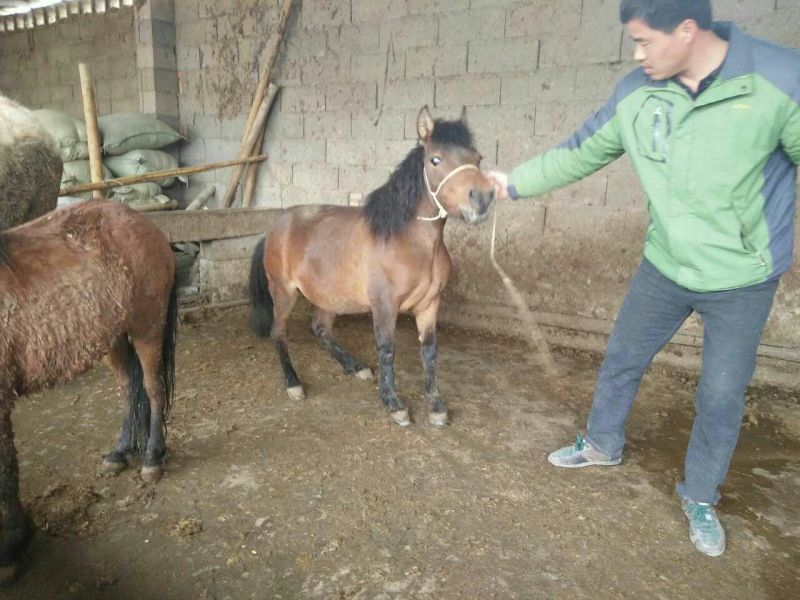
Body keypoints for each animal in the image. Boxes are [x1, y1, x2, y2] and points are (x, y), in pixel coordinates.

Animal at [0, 200, 177, 580]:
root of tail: (142, 220)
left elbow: (5, 470)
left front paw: (11, 547)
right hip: (112, 337)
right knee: (130, 390)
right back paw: (120, 452)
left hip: (147, 327)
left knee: (153, 388)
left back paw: (152, 457)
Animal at [249, 106, 495, 427]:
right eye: (435, 159)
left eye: (478, 158)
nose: (482, 199)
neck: (409, 241)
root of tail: (273, 228)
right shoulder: (385, 305)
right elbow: (387, 350)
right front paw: (394, 404)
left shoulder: (430, 304)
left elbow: (429, 352)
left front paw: (436, 406)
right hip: (284, 294)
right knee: (279, 332)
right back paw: (293, 383)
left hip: (328, 296)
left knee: (320, 329)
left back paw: (355, 367)